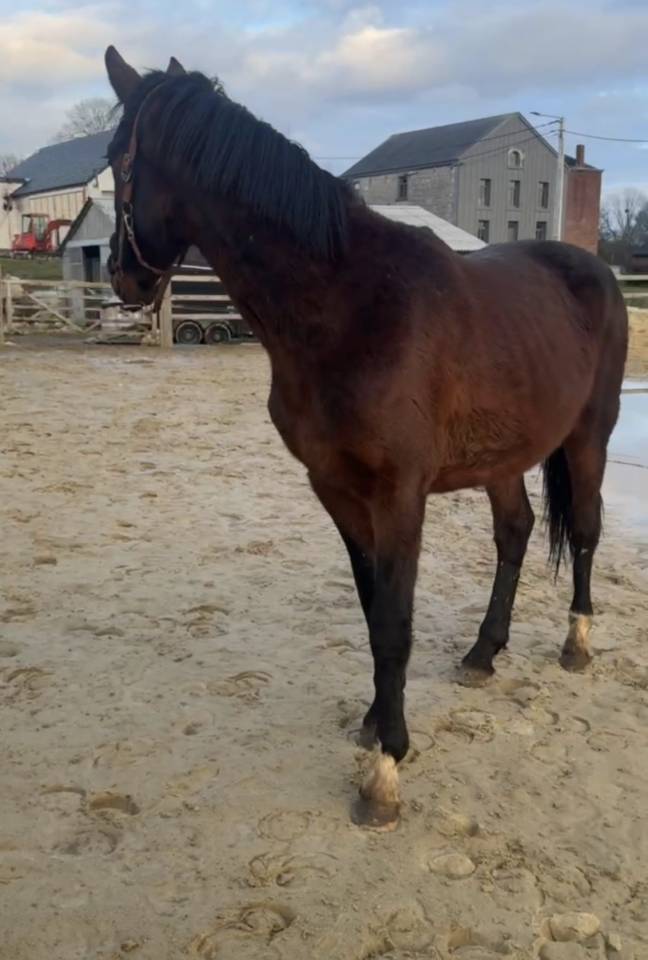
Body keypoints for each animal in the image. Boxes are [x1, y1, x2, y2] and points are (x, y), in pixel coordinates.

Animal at [104, 46, 628, 830]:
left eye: (115, 159)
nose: (121, 275)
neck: (349, 304)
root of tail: (595, 270)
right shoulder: (336, 489)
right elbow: (371, 607)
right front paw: (377, 721)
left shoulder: (398, 494)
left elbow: (395, 621)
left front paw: (386, 768)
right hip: (503, 455)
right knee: (516, 531)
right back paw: (483, 654)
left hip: (590, 435)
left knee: (587, 531)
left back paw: (576, 642)